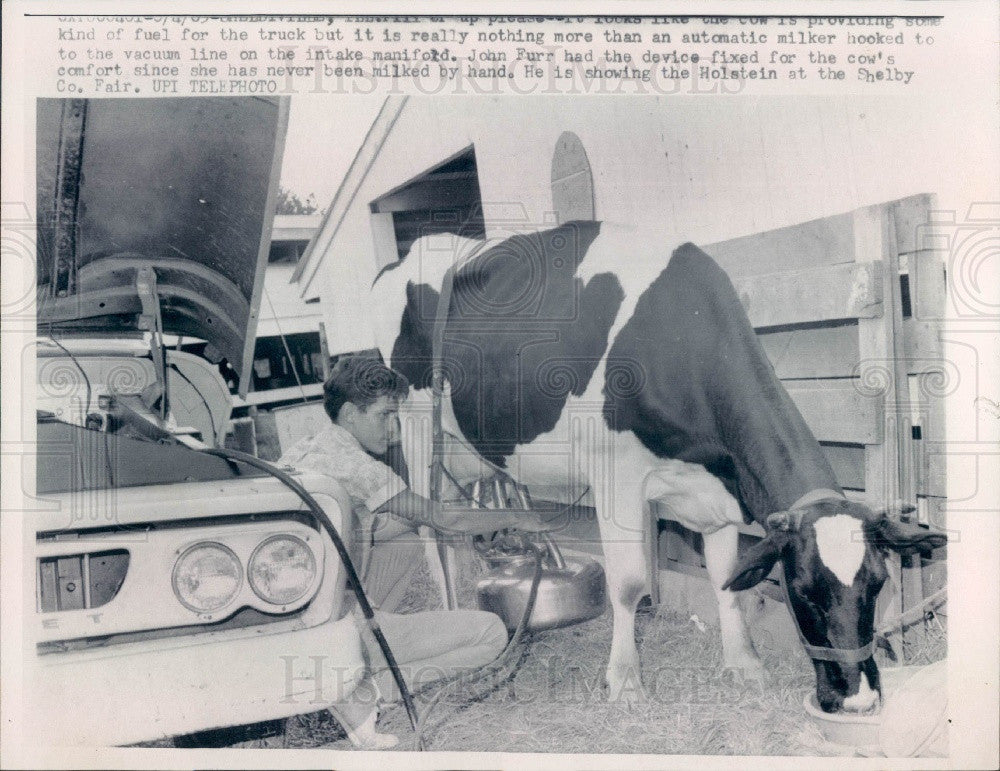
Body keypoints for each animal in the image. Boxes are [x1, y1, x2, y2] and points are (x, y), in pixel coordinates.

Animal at [370, 220, 944, 716]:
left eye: (878, 584)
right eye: (801, 589)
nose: (859, 701)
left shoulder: (717, 493)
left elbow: (725, 578)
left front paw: (744, 665)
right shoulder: (616, 477)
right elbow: (628, 584)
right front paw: (625, 683)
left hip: (470, 444)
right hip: (415, 421)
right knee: (429, 531)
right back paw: (452, 618)